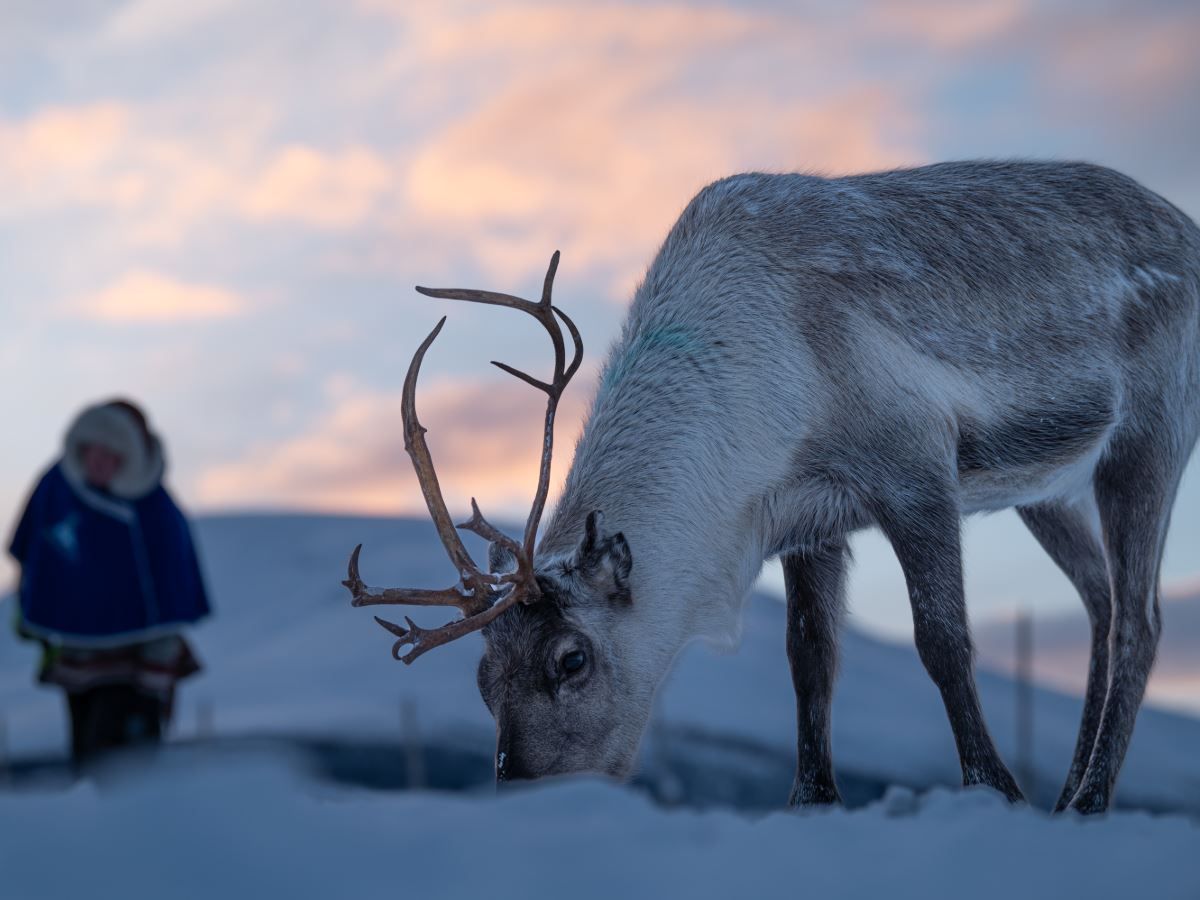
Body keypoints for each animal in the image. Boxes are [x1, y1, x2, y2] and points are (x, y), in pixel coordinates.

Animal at [345, 160, 1200, 814]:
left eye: (572, 660)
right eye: (482, 677)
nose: (529, 800)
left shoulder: (916, 467)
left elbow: (942, 640)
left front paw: (995, 791)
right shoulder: (811, 519)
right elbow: (809, 658)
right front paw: (811, 801)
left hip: (1149, 436)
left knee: (1141, 619)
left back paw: (1088, 801)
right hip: (1045, 489)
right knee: (1101, 602)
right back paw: (1071, 793)